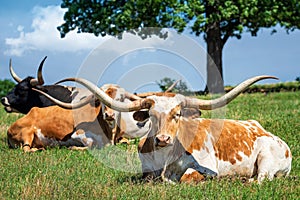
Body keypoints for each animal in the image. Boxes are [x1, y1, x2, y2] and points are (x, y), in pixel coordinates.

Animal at [54, 74, 286, 183]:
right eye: (152, 115)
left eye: (177, 115)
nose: (163, 139)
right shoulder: (146, 169)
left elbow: (181, 178)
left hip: (267, 161)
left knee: (261, 179)